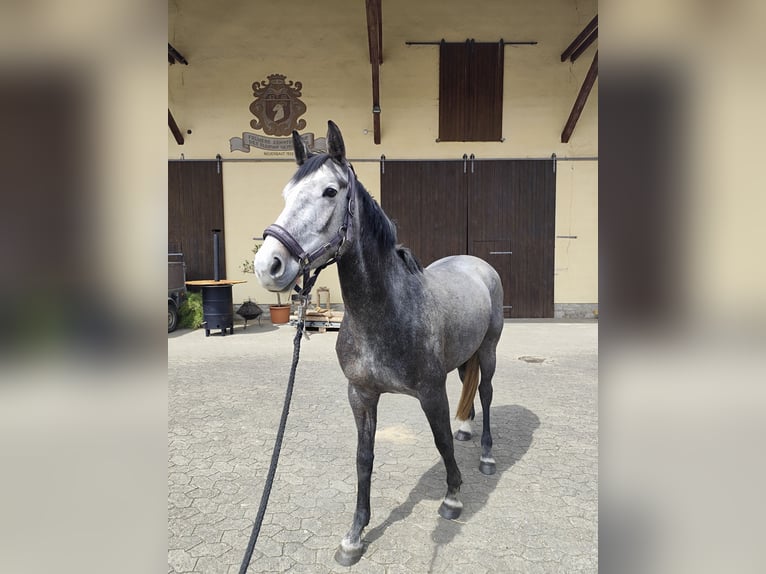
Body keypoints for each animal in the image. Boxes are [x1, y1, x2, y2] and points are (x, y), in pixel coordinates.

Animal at [254, 121, 504, 566]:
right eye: (286, 193)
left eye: (329, 191)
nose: (268, 265)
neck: (388, 313)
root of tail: (477, 265)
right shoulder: (361, 394)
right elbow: (364, 458)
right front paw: (354, 535)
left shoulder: (431, 392)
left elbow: (440, 442)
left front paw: (453, 497)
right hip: (465, 355)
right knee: (470, 388)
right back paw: (467, 429)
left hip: (488, 350)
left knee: (487, 392)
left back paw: (487, 455)